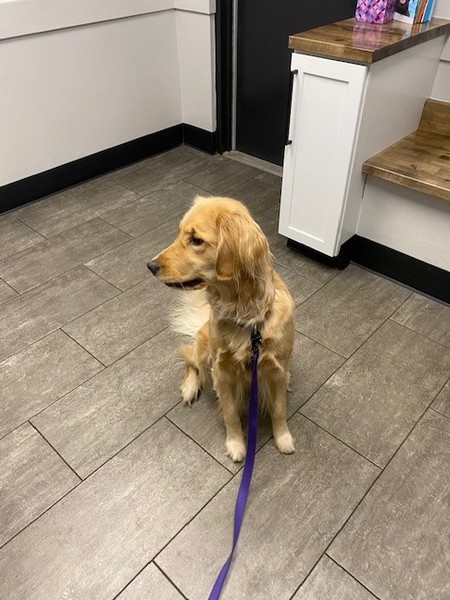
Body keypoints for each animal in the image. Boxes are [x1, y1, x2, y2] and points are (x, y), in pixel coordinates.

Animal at [147, 196, 295, 462]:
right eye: (179, 233)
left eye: (195, 240)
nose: (150, 265)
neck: (246, 317)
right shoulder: (222, 372)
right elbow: (230, 414)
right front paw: (236, 444)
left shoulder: (277, 369)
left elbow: (279, 409)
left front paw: (283, 438)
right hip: (204, 349)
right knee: (190, 359)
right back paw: (189, 388)